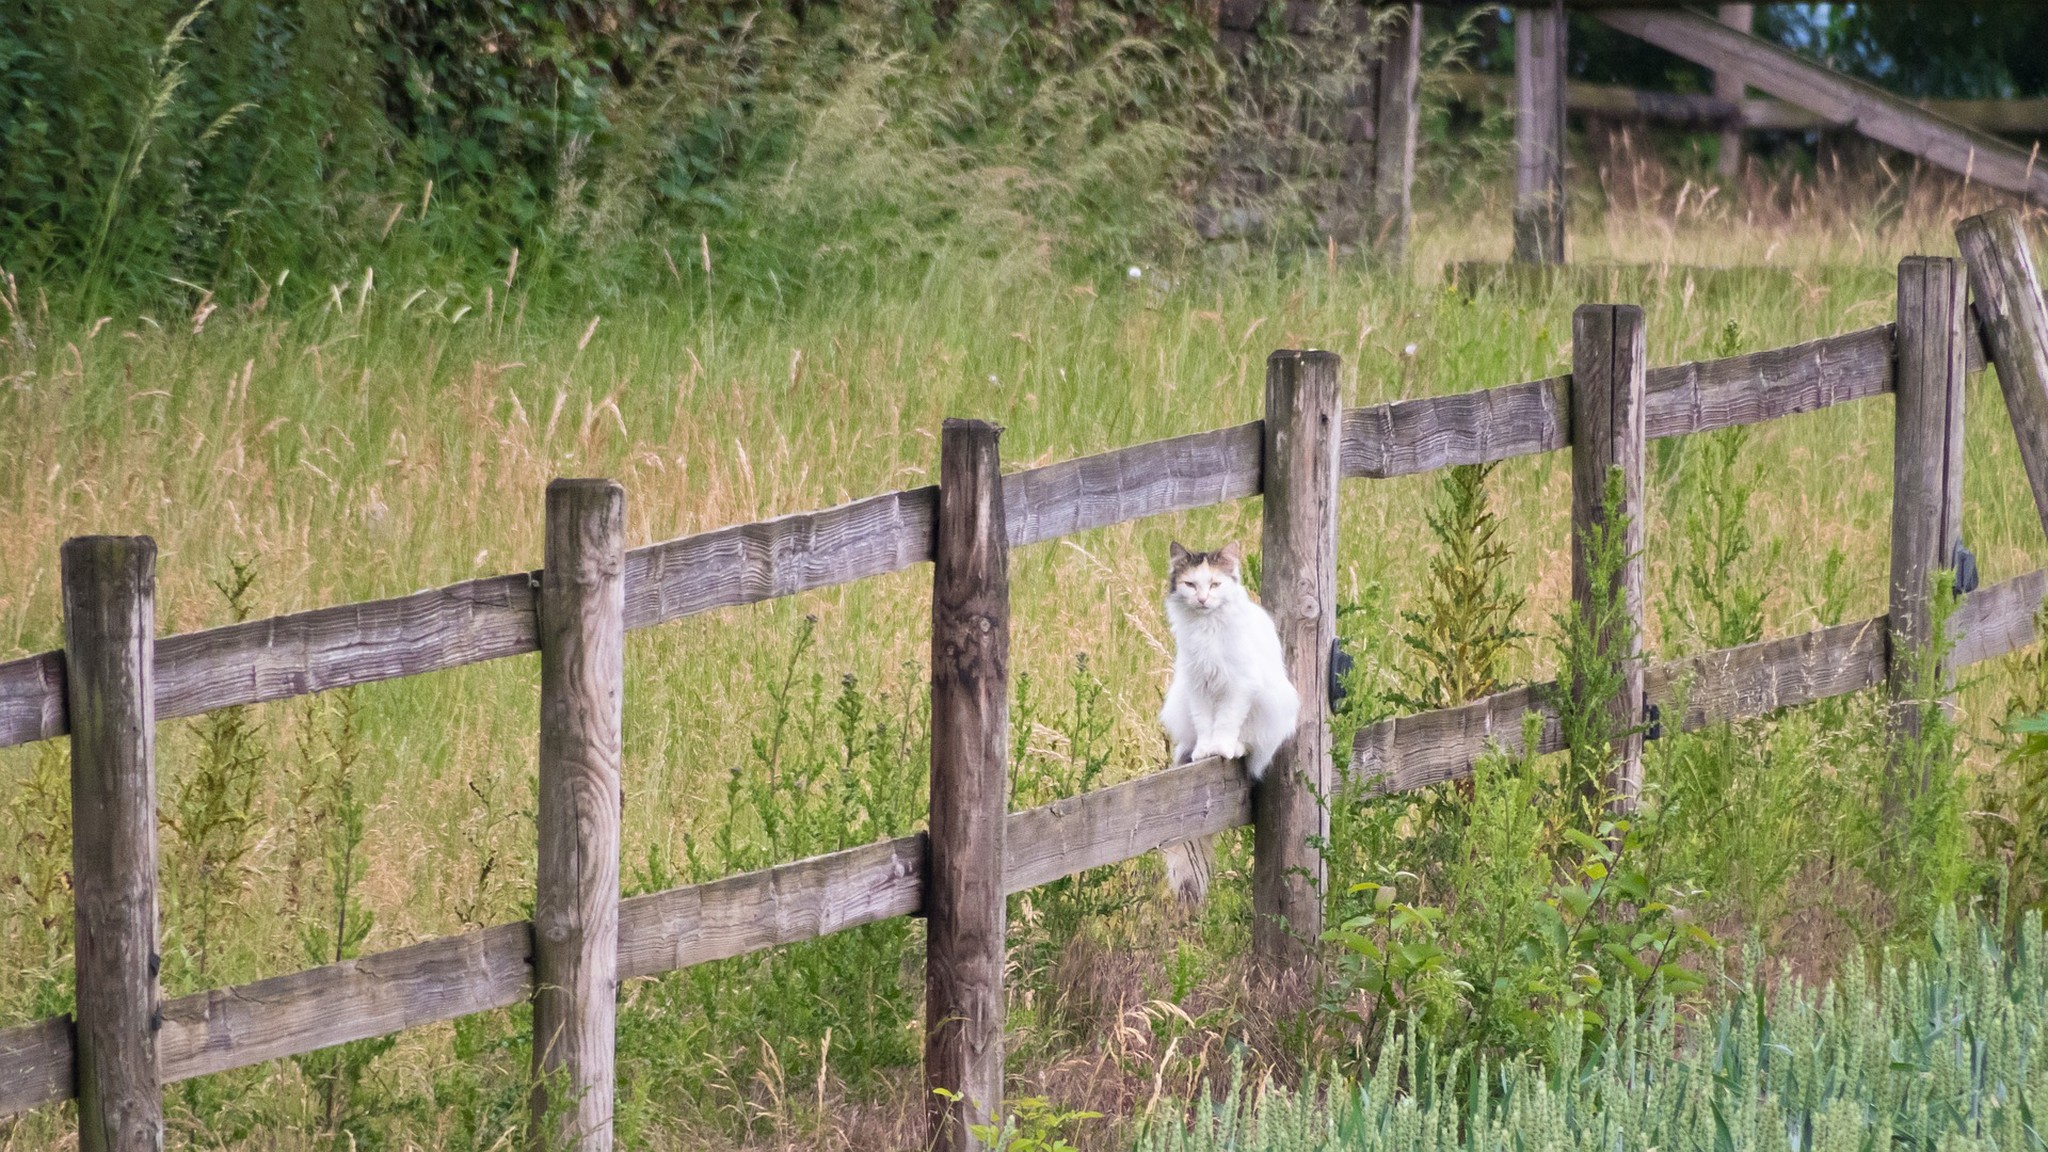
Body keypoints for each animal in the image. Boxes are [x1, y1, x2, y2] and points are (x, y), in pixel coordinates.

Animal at [1163, 541, 1302, 901]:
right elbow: (1205, 724)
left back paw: (1237, 748)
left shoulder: (1238, 685)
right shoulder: (1198, 686)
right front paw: (1206, 751)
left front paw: (1222, 748)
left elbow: (1225, 722)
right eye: (1191, 584)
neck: (1206, 629)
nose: (1202, 599)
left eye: (1214, 584)